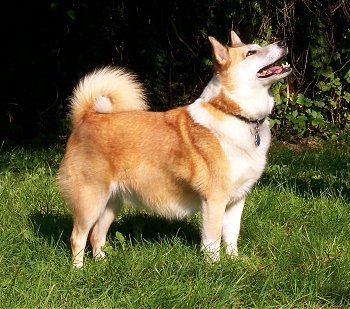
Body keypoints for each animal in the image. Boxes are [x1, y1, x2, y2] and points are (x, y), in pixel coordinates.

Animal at [58, 30, 292, 268]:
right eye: (251, 52)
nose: (283, 42)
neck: (233, 114)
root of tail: (86, 117)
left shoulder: (236, 200)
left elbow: (231, 236)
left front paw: (234, 261)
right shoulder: (214, 200)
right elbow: (212, 240)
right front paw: (215, 267)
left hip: (111, 202)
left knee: (97, 235)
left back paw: (102, 262)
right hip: (90, 199)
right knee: (78, 237)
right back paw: (79, 270)